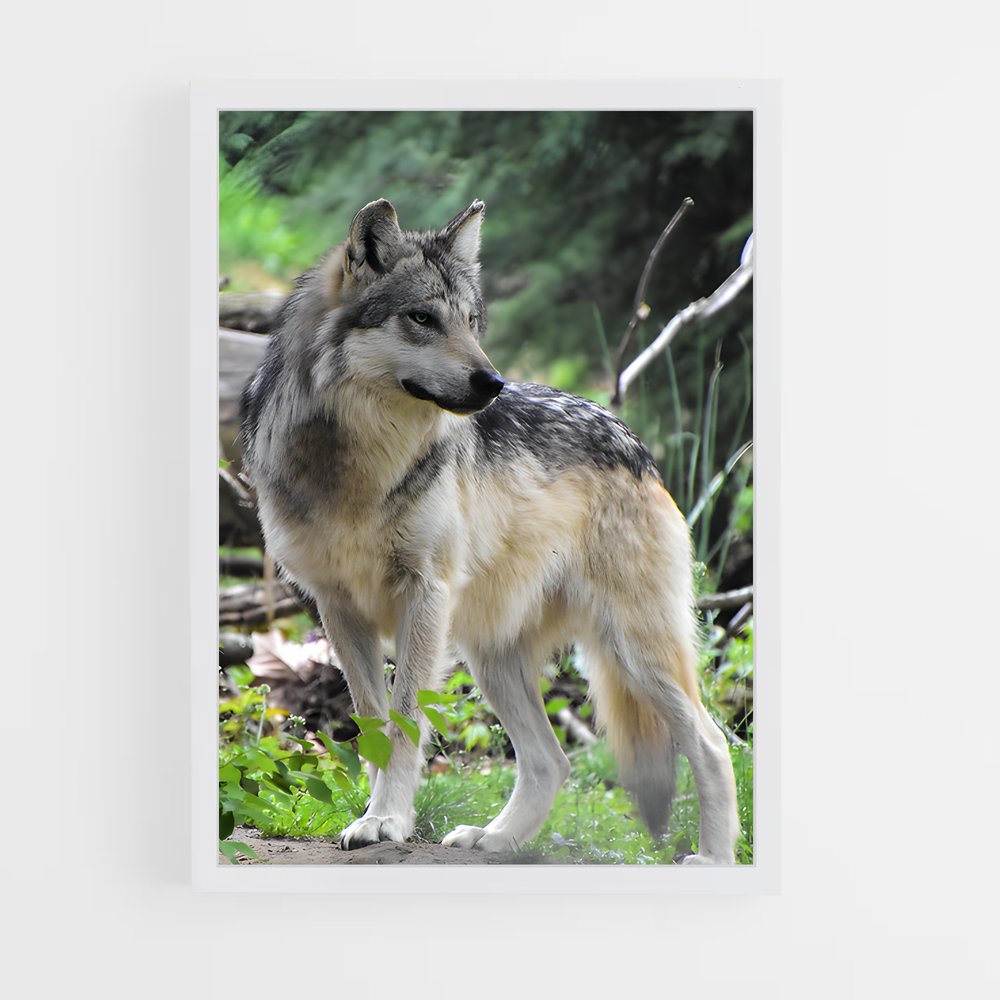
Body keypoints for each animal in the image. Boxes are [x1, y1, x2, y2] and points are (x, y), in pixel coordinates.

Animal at [240, 198, 740, 863]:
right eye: (422, 318)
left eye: (472, 322)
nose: (494, 384)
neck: (356, 467)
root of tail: (633, 441)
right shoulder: (337, 608)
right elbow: (374, 722)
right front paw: (375, 816)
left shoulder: (423, 593)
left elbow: (405, 721)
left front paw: (388, 819)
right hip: (493, 658)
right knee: (552, 761)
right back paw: (496, 839)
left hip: (632, 650)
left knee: (712, 744)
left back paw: (712, 856)